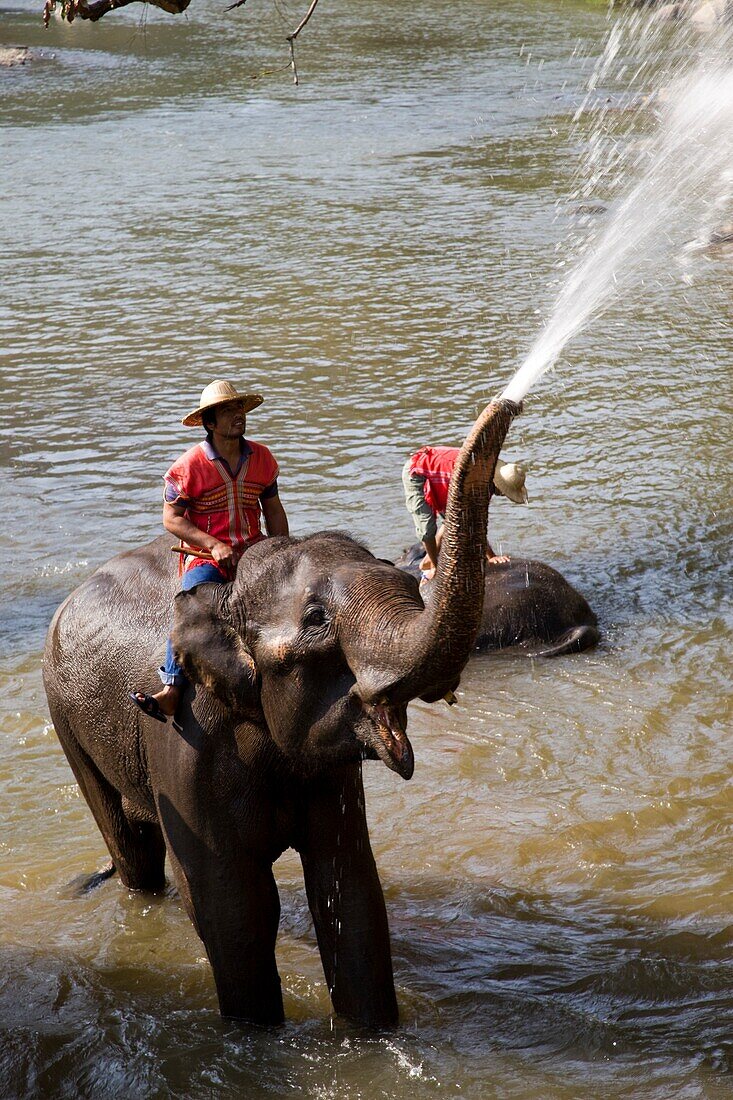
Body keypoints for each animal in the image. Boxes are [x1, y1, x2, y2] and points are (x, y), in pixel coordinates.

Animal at [44, 400, 512, 1025]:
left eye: (403, 578)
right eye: (316, 619)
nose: (508, 402)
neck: (233, 590)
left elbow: (349, 887)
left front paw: (374, 1036)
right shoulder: (187, 745)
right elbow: (233, 907)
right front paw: (256, 1032)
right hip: (65, 716)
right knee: (133, 853)